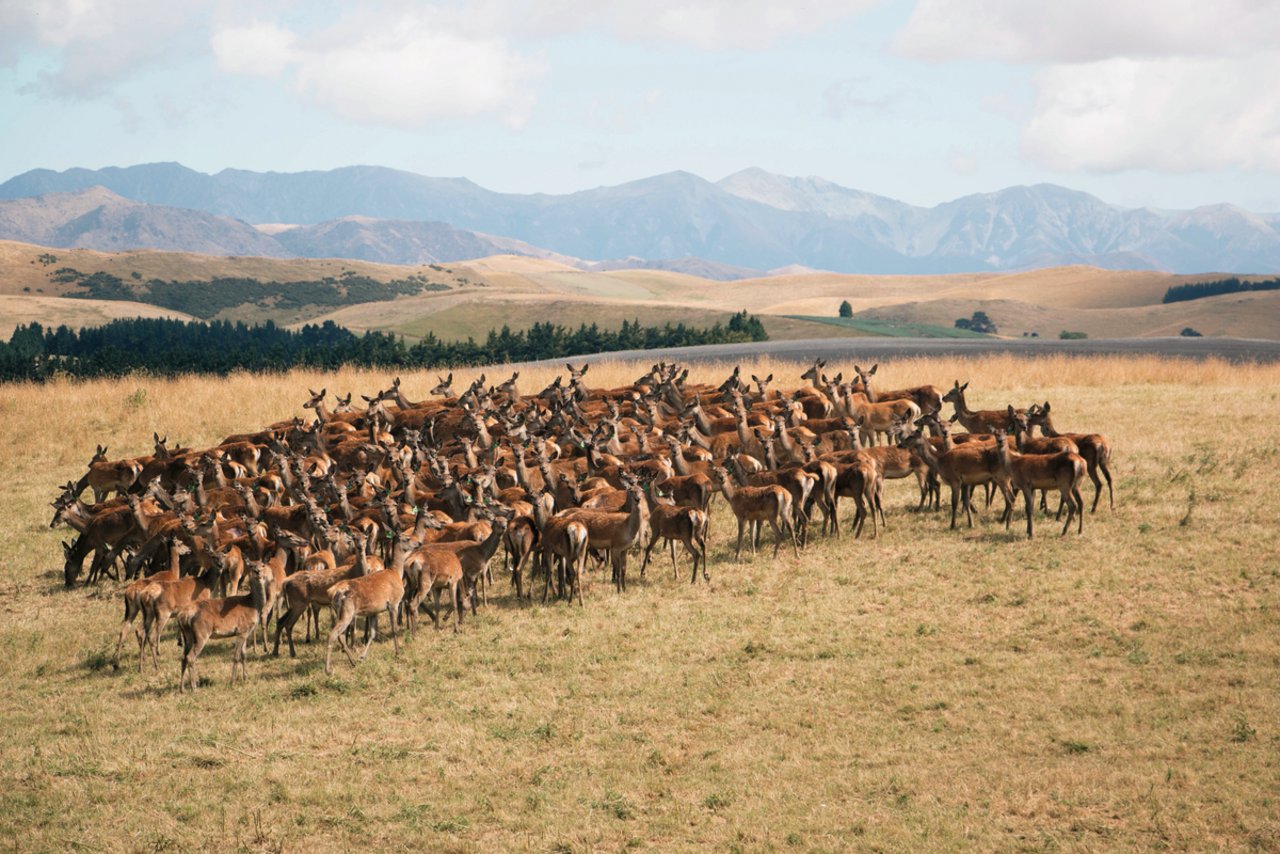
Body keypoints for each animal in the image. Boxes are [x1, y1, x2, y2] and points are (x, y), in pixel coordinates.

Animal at [176, 563, 271, 691]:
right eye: (251, 566)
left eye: (263, 565)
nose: (258, 571)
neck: (252, 605)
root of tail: (182, 615)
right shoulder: (242, 629)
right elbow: (236, 656)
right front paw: (233, 681)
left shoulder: (246, 631)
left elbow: (244, 655)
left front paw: (246, 678)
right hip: (201, 632)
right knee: (190, 657)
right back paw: (194, 687)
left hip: (187, 635)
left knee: (183, 657)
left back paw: (182, 688)